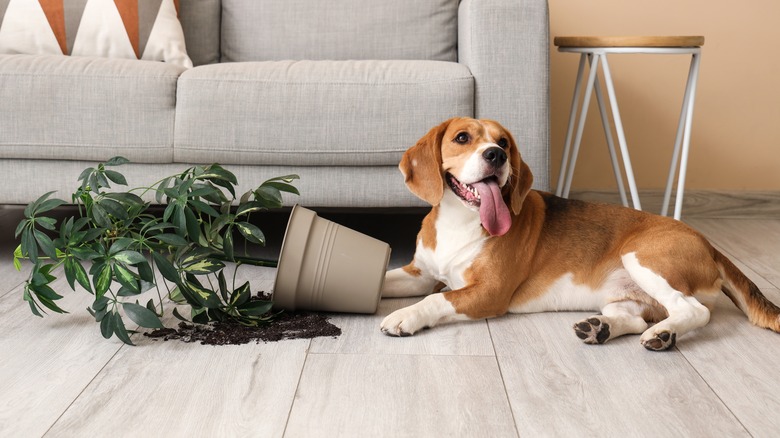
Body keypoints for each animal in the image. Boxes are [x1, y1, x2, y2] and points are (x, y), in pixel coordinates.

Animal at [380, 118, 780, 350]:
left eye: (504, 143)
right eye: (462, 138)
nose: (496, 155)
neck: (460, 220)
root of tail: (708, 243)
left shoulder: (489, 292)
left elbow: (436, 299)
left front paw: (405, 316)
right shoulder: (419, 274)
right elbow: (390, 279)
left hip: (642, 258)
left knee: (695, 310)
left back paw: (663, 335)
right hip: (624, 295)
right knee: (635, 317)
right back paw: (600, 328)